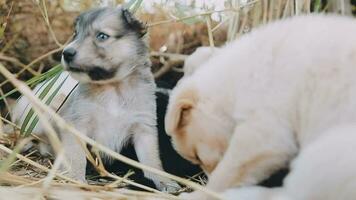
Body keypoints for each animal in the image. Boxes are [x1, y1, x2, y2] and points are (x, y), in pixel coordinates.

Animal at [165, 14, 356, 198]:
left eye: (197, 156)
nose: (206, 176)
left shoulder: (264, 131)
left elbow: (225, 174)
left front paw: (199, 194)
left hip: (326, 150)